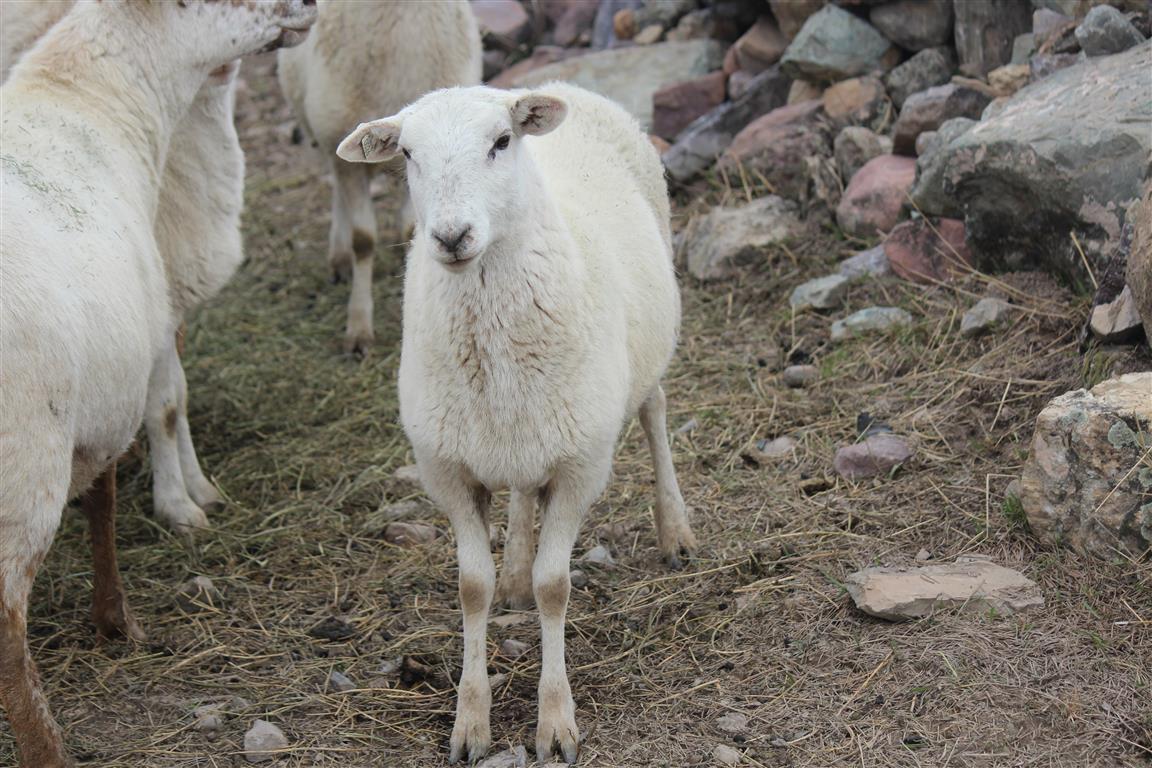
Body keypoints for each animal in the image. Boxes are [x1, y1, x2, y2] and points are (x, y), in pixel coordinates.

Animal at [0, 2, 317, 765]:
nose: (310, 7)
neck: (92, 101)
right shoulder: (120, 375)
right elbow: (114, 486)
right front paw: (117, 620)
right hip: (25, 465)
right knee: (6, 632)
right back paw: (45, 747)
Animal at [277, 0, 482, 355]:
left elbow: (410, 230)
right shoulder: (345, 155)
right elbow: (363, 240)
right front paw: (358, 327)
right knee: (338, 195)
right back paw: (339, 256)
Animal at [337, 83, 698, 764]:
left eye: (501, 142)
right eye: (407, 155)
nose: (451, 235)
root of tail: (567, 85)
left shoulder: (582, 464)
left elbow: (555, 586)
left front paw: (555, 723)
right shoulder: (447, 470)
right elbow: (471, 588)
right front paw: (470, 722)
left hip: (647, 348)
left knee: (656, 412)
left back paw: (676, 531)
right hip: (523, 430)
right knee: (525, 490)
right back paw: (514, 575)